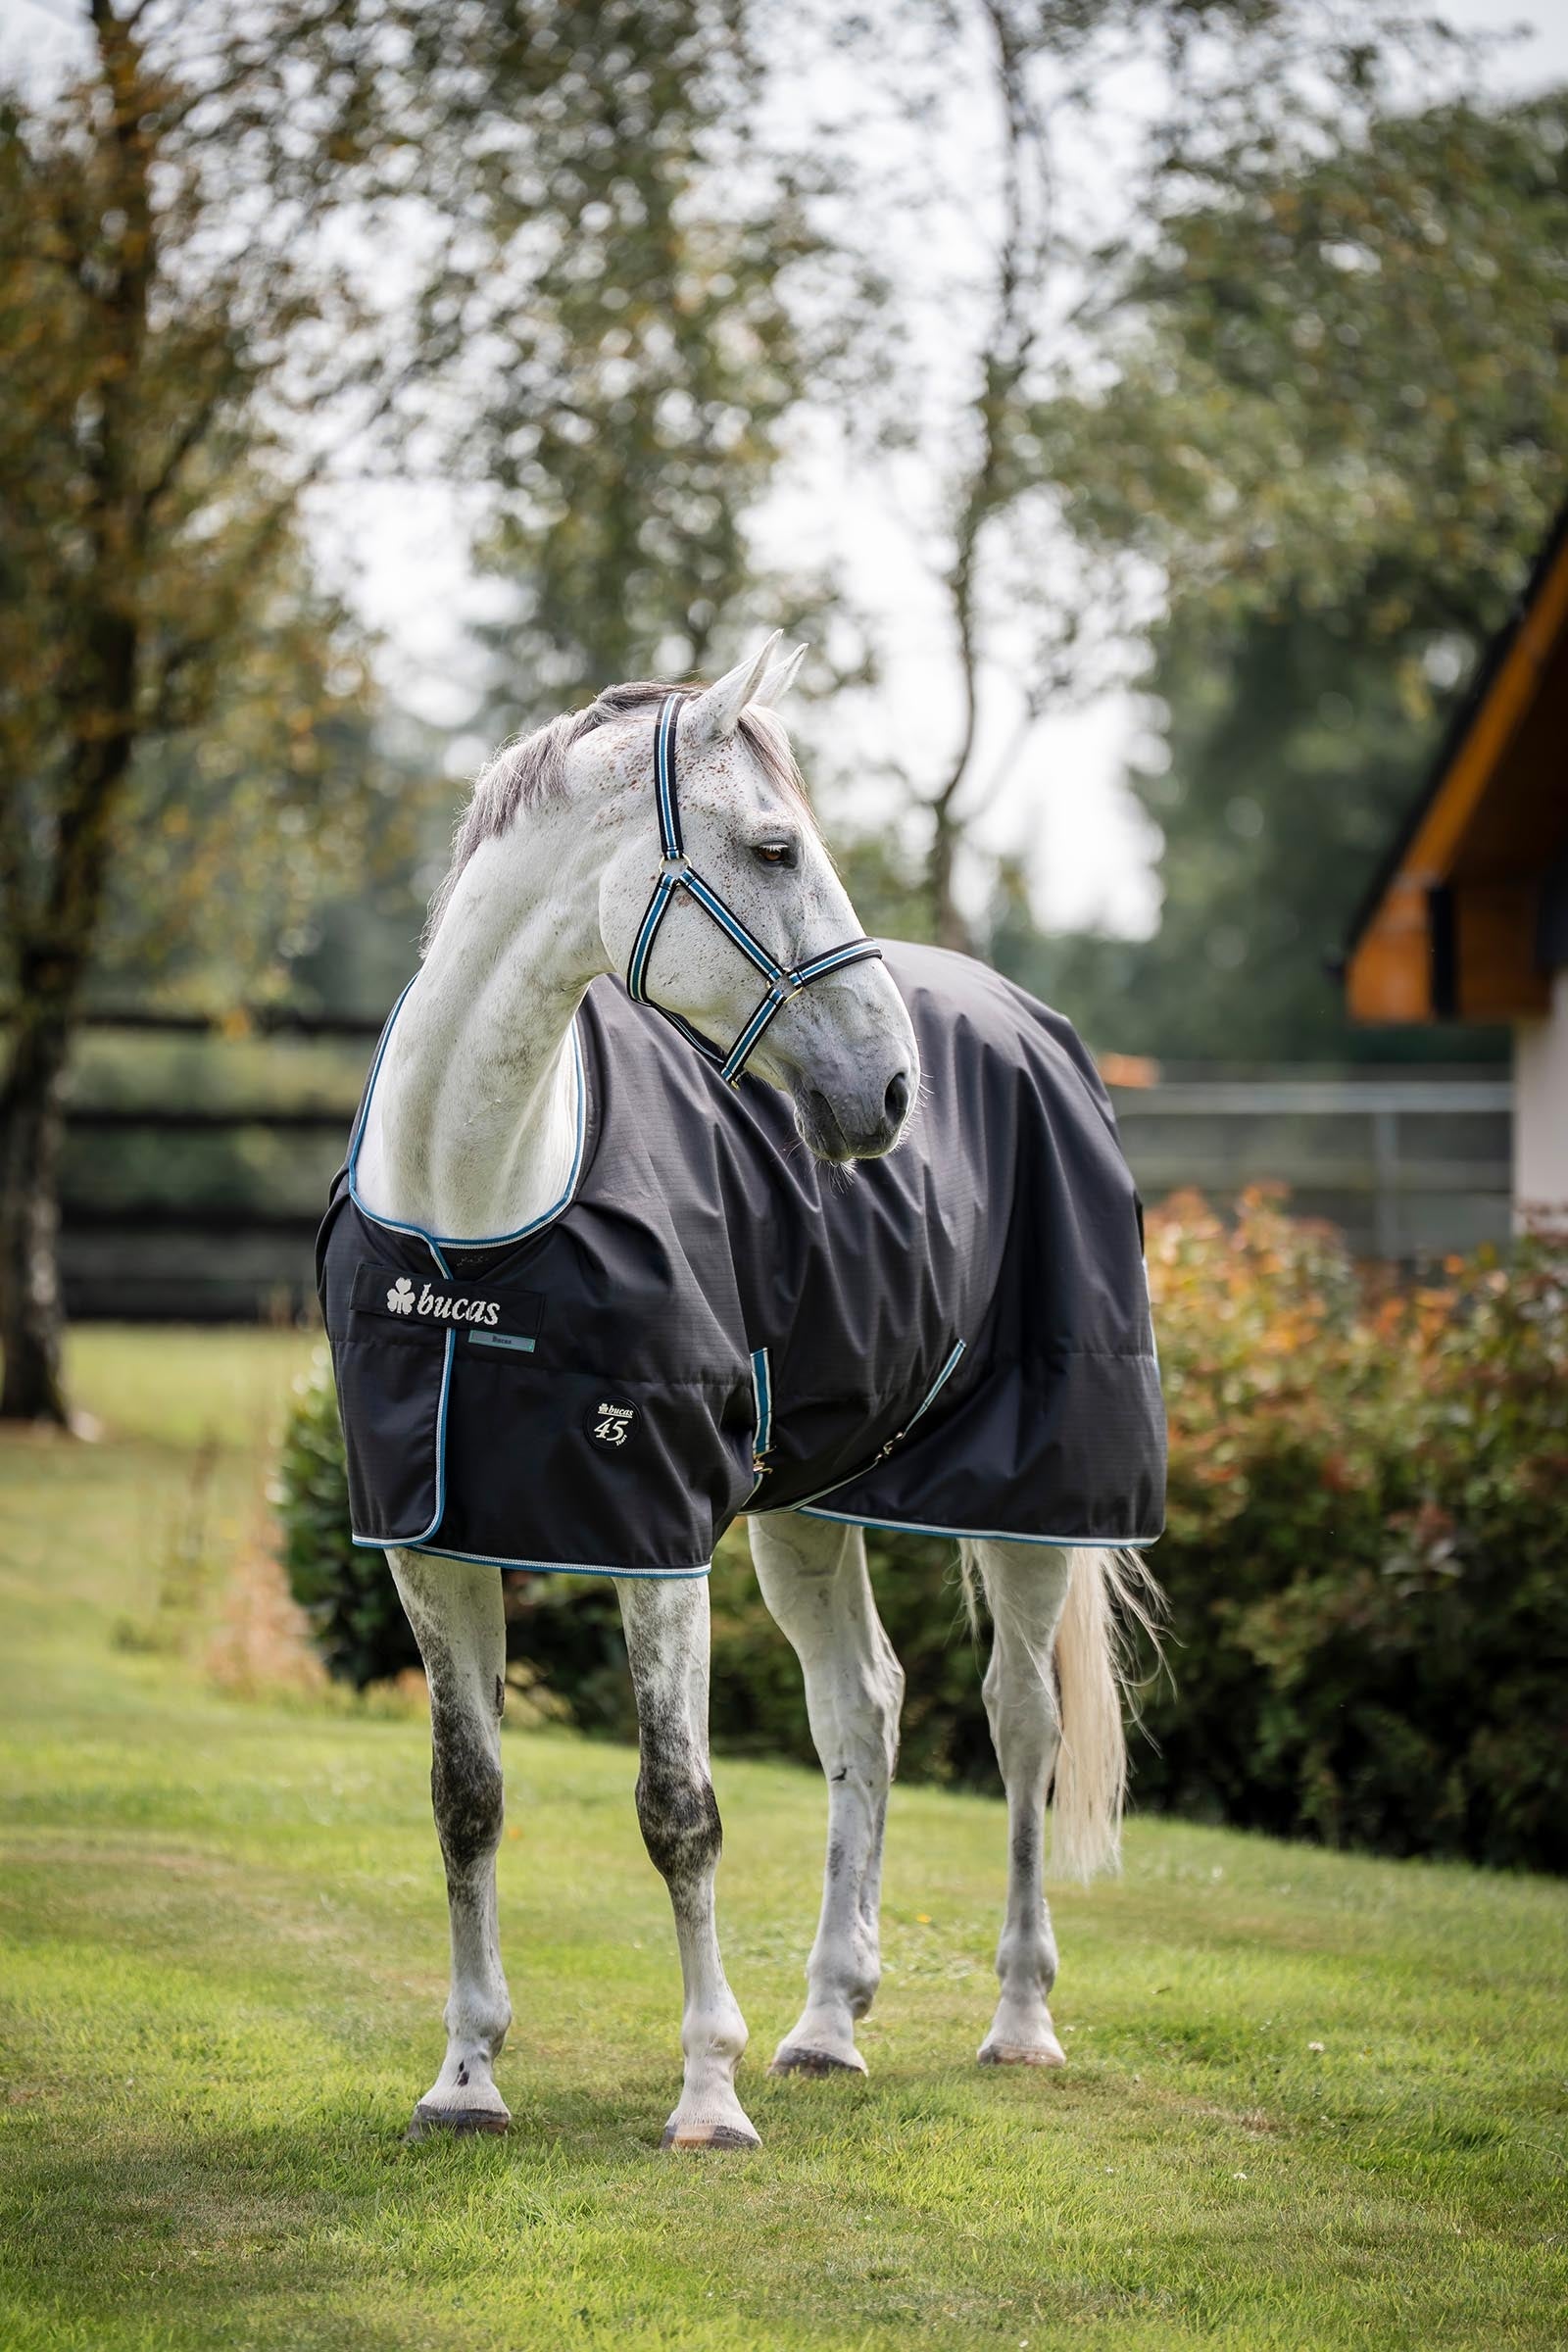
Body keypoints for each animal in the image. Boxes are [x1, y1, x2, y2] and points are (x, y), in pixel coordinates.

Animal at [320, 634, 1164, 2150]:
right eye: (774, 846)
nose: (888, 1091)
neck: (476, 1215)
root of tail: (1034, 1027)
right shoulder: (431, 1544)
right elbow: (467, 1800)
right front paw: (466, 2079)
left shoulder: (654, 1543)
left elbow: (681, 1808)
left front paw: (704, 2096)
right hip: (808, 1510)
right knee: (864, 1711)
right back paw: (827, 2024)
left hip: (1035, 1506)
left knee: (1022, 1722)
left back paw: (1019, 2020)